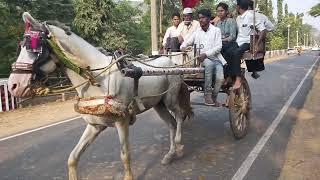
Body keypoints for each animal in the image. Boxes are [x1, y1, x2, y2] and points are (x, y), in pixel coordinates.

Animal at [8, 11, 192, 179]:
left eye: (35, 48)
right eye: (21, 46)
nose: (13, 86)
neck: (98, 79)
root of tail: (172, 62)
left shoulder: (122, 121)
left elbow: (125, 156)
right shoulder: (95, 125)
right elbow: (73, 157)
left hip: (170, 99)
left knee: (179, 116)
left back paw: (179, 146)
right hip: (158, 104)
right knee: (171, 123)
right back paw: (169, 155)